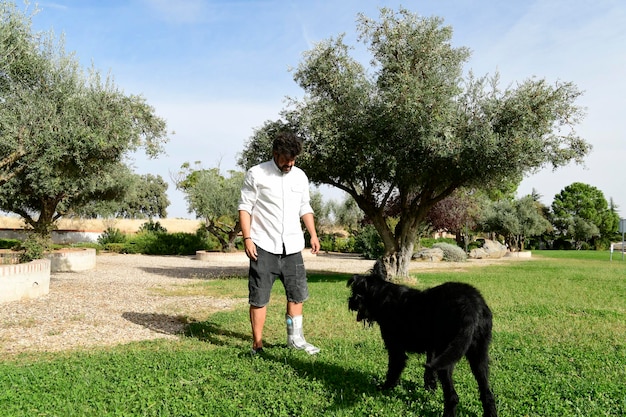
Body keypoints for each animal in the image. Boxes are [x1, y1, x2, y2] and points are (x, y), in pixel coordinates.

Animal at [346, 270, 498, 416]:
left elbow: (393, 370)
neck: (382, 297)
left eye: (356, 292)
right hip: (478, 358)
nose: (350, 302)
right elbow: (429, 371)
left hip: (447, 360)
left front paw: (385, 387)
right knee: (487, 394)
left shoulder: (396, 350)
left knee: (453, 397)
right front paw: (430, 388)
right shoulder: (432, 350)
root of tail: (471, 306)